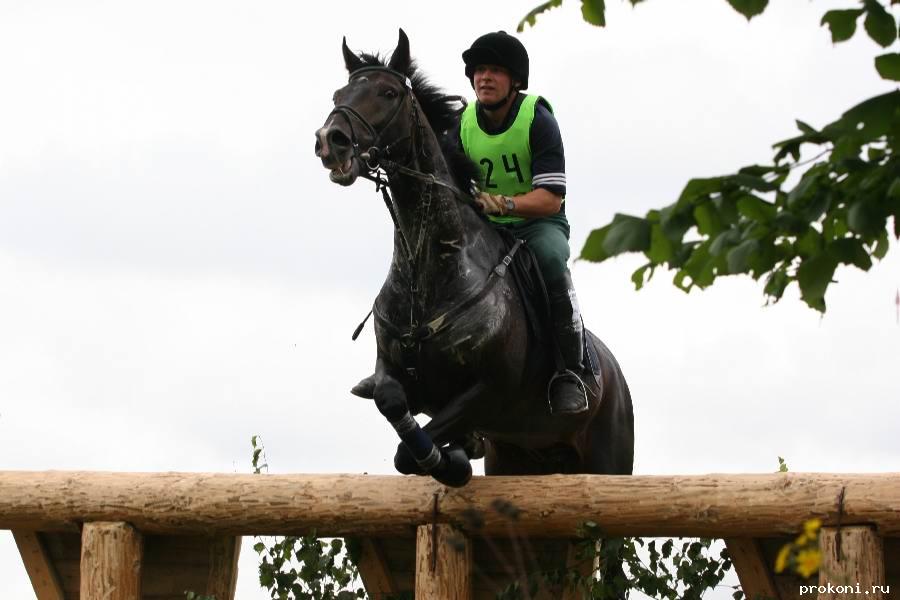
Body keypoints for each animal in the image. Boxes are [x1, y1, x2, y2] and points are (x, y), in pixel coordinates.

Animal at [314, 28, 632, 490]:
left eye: (389, 93)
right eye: (339, 93)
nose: (330, 142)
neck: (427, 269)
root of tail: (613, 371)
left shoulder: (489, 391)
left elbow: (406, 454)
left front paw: (450, 462)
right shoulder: (396, 373)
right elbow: (390, 400)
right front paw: (455, 453)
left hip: (608, 456)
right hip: (517, 456)